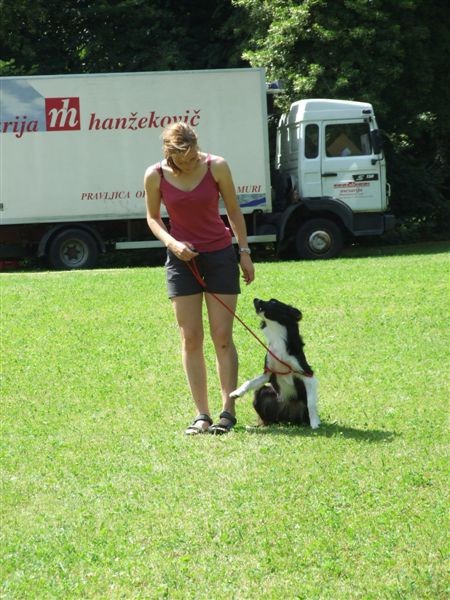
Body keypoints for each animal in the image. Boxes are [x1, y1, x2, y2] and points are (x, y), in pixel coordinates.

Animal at [232, 298, 320, 428]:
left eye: (273, 302)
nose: (255, 299)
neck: (277, 335)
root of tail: (286, 418)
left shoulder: (308, 374)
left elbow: (311, 403)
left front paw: (315, 423)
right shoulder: (268, 373)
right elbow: (249, 382)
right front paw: (236, 392)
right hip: (262, 392)